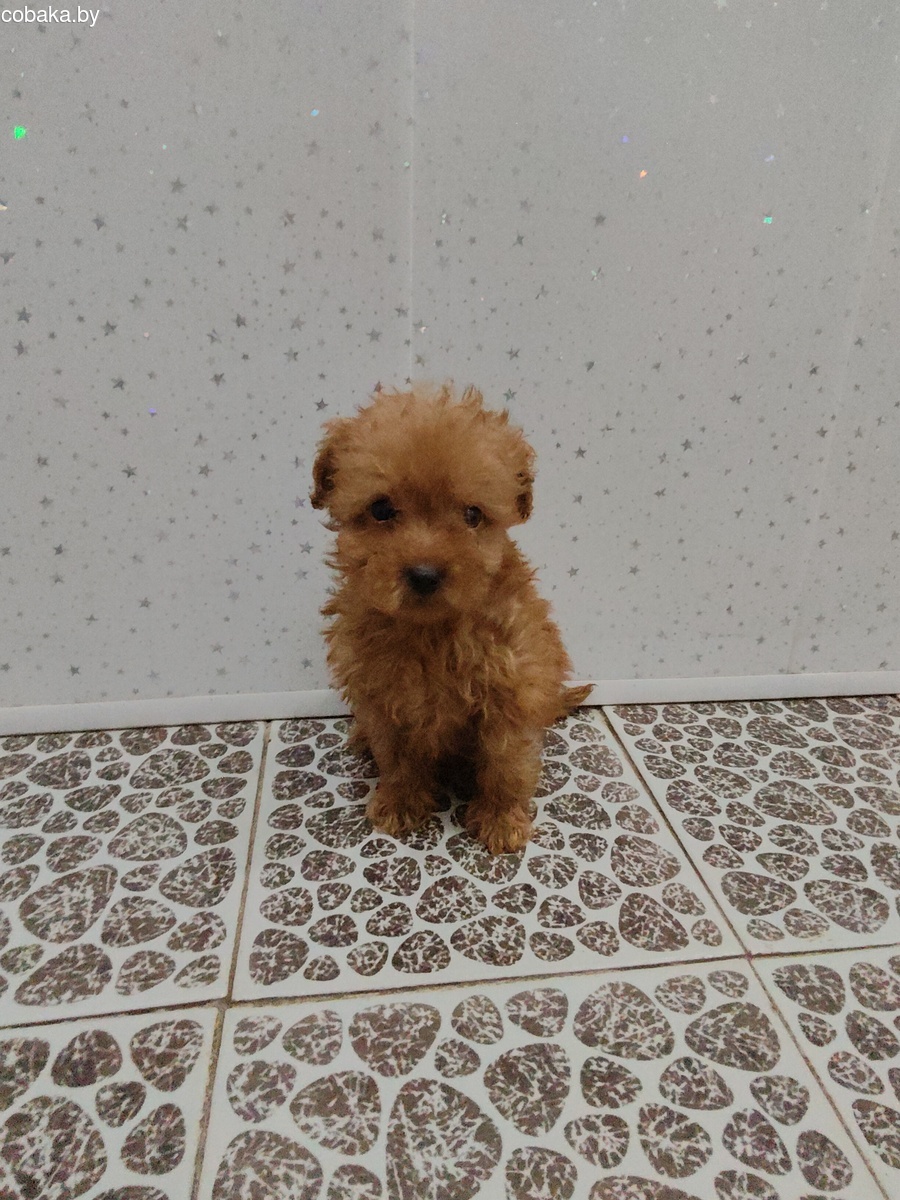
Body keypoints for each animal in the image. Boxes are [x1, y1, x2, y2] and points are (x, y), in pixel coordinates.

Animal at [310, 384, 589, 854]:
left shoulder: (509, 690)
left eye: (472, 515)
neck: (431, 632)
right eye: (381, 509)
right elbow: (396, 756)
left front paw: (500, 819)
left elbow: (505, 762)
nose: (424, 574)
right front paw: (401, 800)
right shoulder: (382, 694)